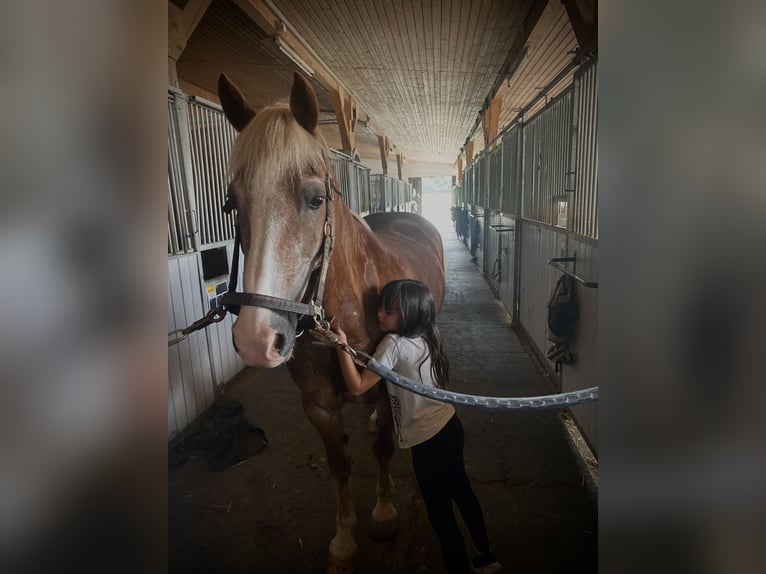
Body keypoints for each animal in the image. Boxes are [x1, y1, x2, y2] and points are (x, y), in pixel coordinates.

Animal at [218, 73, 444, 574]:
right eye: (231, 203)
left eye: (316, 199)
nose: (256, 339)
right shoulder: (317, 406)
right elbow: (339, 464)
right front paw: (343, 542)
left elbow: (382, 449)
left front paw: (384, 513)